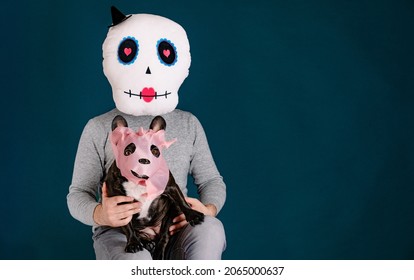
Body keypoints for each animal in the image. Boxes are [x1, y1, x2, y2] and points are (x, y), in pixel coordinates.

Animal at [103, 115, 204, 260]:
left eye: (155, 151)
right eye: (128, 152)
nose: (144, 159)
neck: (141, 181)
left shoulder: (171, 186)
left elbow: (182, 201)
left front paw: (193, 215)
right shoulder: (120, 206)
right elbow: (127, 226)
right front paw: (133, 243)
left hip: (170, 214)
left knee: (164, 235)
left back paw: (158, 251)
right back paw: (146, 243)